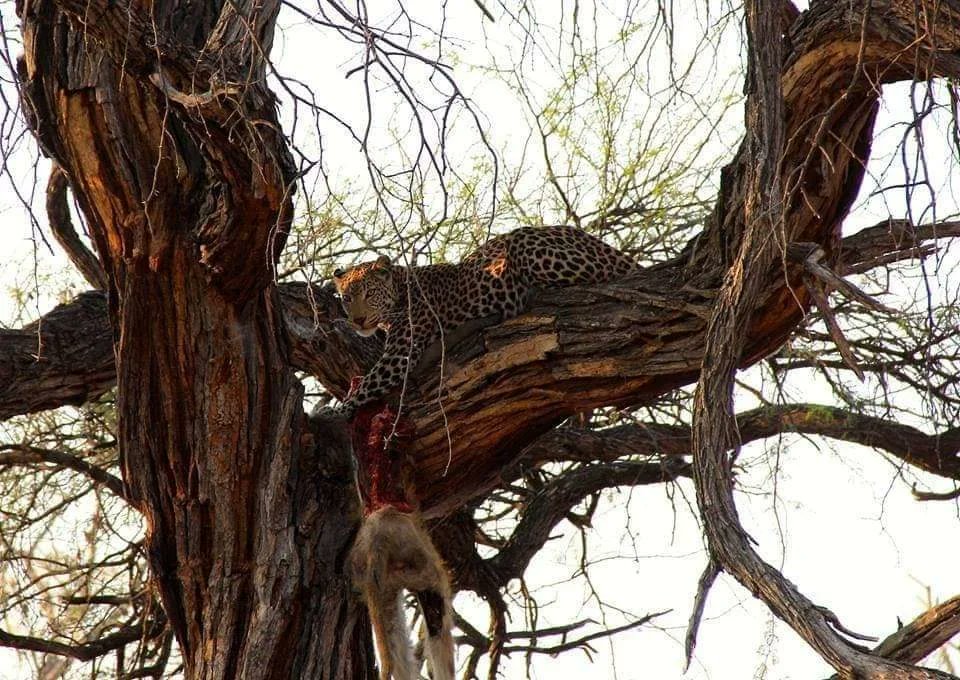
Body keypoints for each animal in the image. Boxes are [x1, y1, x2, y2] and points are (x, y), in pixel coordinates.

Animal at [328, 225, 638, 419]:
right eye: (346, 298)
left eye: (369, 294)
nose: (358, 320)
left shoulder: (400, 354)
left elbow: (369, 382)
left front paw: (338, 410)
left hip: (524, 244)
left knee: (602, 275)